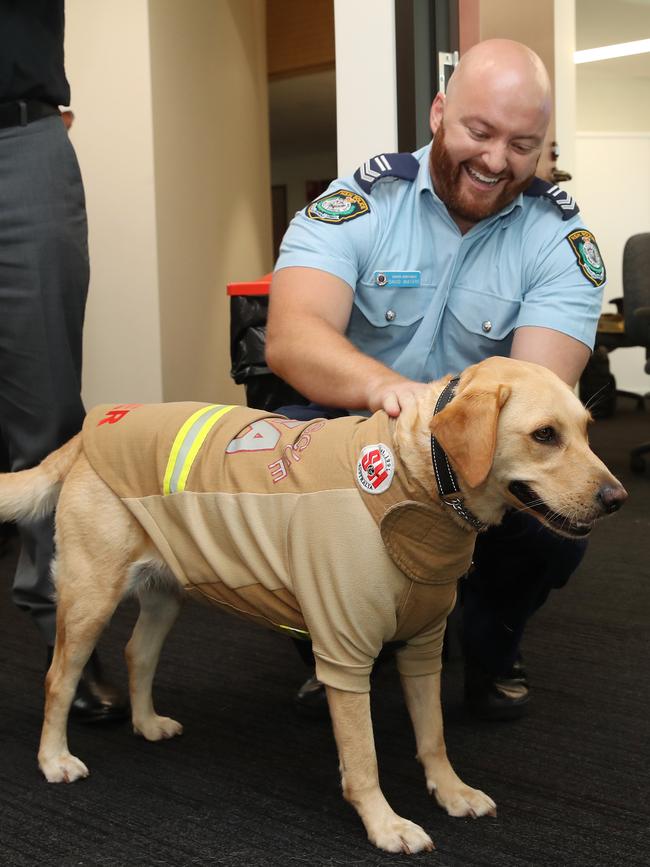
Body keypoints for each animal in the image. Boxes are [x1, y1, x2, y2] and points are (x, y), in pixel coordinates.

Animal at [0, 358, 624, 856]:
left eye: (587, 431)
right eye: (544, 435)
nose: (617, 498)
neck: (419, 479)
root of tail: (94, 428)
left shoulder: (423, 648)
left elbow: (433, 737)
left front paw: (451, 791)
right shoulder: (345, 658)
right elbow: (364, 758)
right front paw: (385, 824)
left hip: (165, 592)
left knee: (137, 654)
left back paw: (147, 722)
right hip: (90, 596)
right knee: (58, 678)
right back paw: (53, 758)